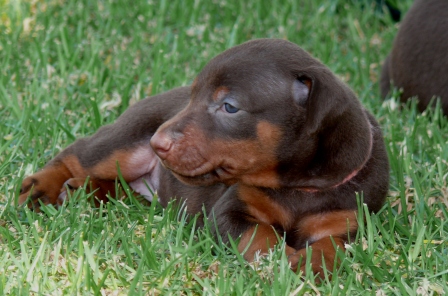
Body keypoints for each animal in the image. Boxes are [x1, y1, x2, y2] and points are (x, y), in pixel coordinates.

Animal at [19, 38, 388, 276]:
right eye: (194, 95)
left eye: (229, 107)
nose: (157, 143)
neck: (294, 186)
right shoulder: (229, 212)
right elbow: (260, 235)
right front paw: (279, 262)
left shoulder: (347, 221)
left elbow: (334, 247)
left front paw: (313, 266)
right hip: (124, 142)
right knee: (79, 154)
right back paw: (42, 188)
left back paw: (84, 192)